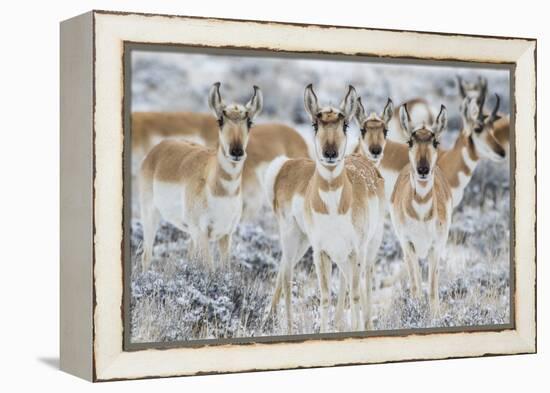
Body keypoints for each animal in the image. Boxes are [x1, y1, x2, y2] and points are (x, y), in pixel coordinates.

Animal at [140, 81, 266, 268]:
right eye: (220, 120)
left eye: (250, 122)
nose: (236, 151)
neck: (222, 191)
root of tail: (158, 149)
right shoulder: (202, 233)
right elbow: (210, 268)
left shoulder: (226, 235)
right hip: (150, 215)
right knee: (146, 256)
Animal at [266, 85, 386, 330]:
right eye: (315, 124)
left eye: (345, 124)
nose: (330, 153)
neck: (333, 207)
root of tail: (285, 165)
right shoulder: (321, 251)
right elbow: (324, 296)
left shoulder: (353, 251)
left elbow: (355, 294)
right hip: (294, 238)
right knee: (287, 275)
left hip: (363, 247)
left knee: (365, 282)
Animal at [390, 103, 454, 316]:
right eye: (410, 141)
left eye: (435, 141)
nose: (423, 169)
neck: (421, 215)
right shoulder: (408, 244)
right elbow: (416, 285)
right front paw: (416, 310)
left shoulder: (436, 246)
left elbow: (433, 287)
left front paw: (435, 315)